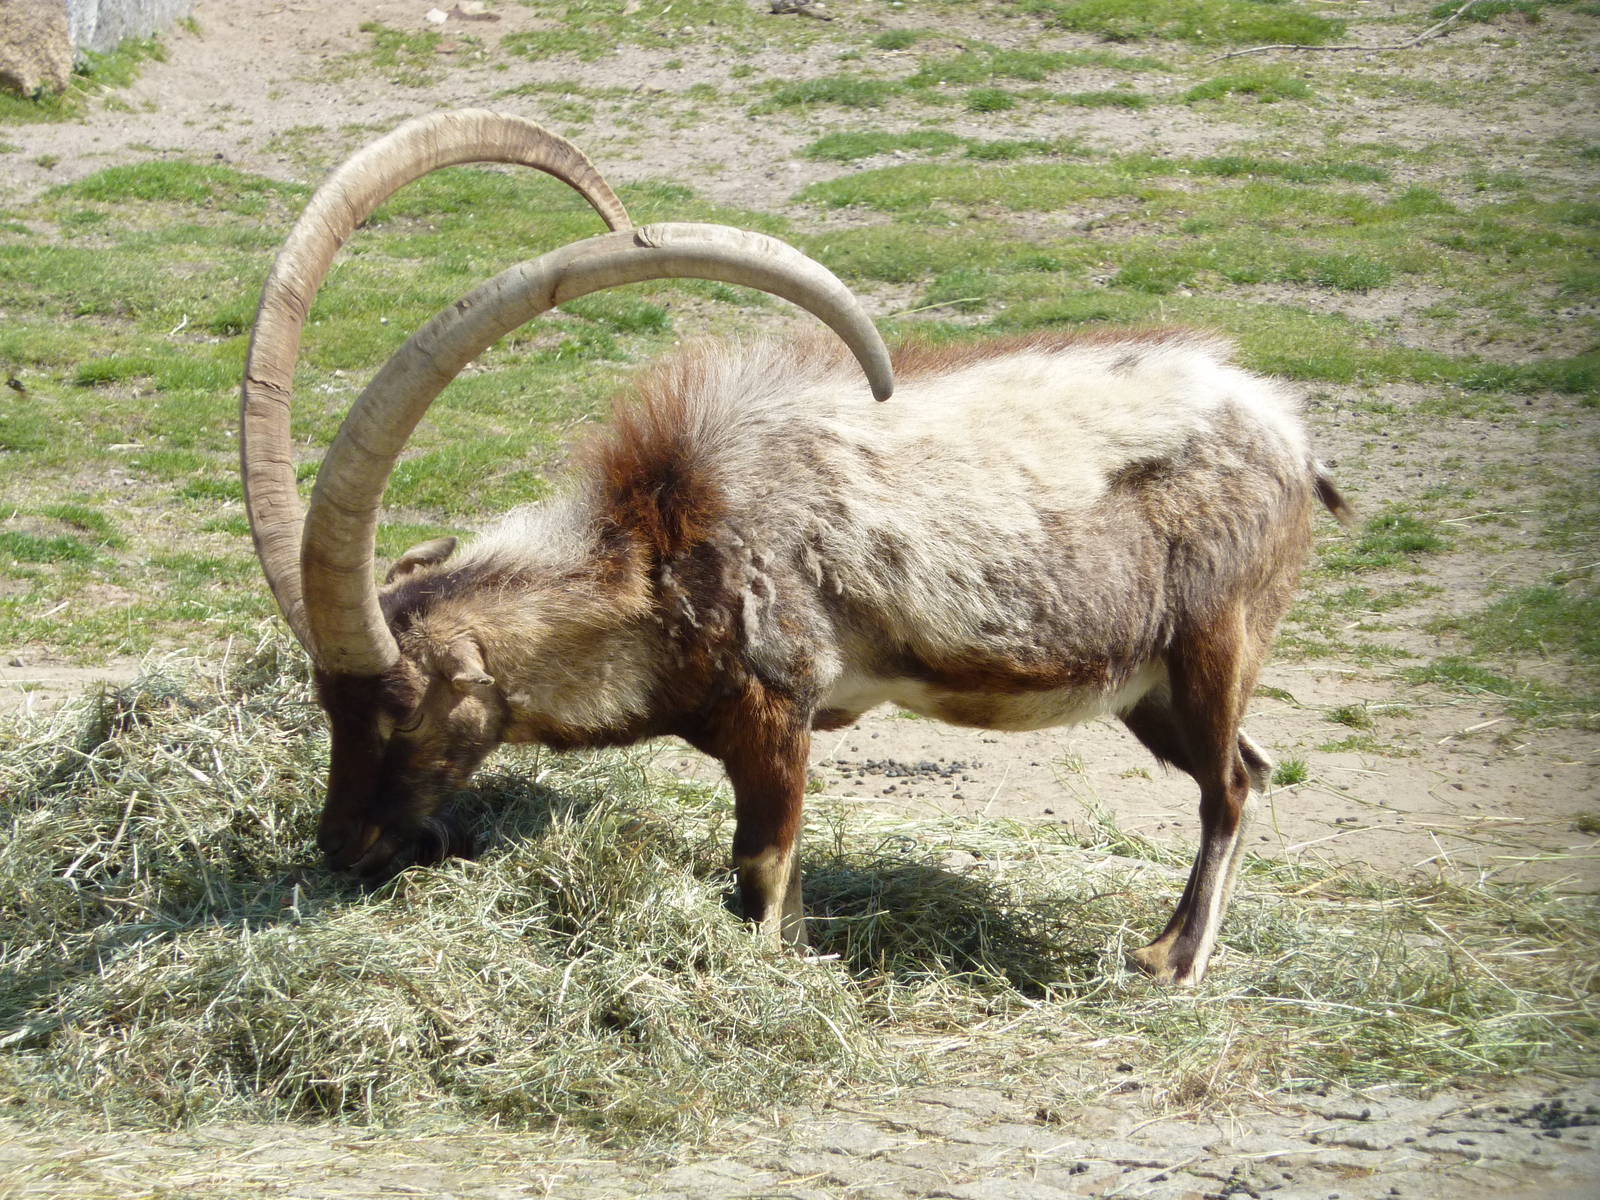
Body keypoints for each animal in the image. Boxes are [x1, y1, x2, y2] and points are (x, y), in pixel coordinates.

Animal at [242, 111, 1349, 986]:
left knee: (1230, 784)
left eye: (404, 706)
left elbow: (764, 869)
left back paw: (1173, 963)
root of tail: (1290, 439)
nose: (344, 848)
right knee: (1246, 766)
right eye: (325, 703)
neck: (667, 545)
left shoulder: (778, 710)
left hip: (1213, 647)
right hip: (1149, 688)